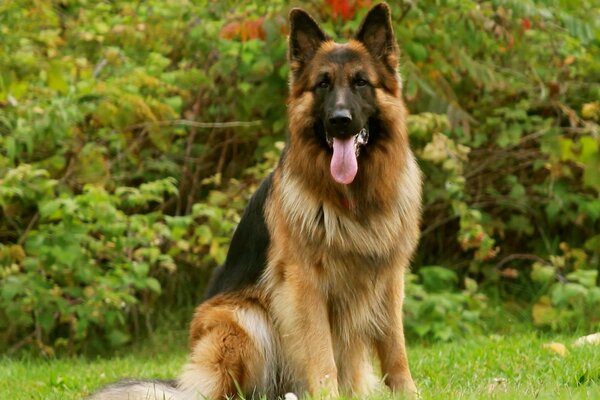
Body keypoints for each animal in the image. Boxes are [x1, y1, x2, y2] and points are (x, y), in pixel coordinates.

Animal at [92, 3, 422, 400]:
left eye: (361, 82)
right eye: (323, 84)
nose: (340, 121)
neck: (353, 199)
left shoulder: (389, 279)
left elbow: (396, 348)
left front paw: (409, 393)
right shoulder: (305, 285)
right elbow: (321, 353)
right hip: (245, 320)